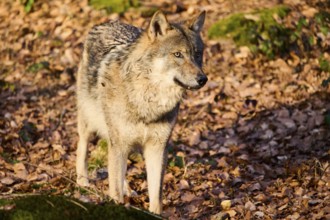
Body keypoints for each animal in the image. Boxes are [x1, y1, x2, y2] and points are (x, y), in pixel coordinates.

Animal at [76, 10, 208, 215]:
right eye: (178, 54)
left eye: (198, 54)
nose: (203, 79)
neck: (148, 101)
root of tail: (106, 23)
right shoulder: (119, 144)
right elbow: (114, 189)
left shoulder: (158, 147)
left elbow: (156, 194)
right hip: (90, 121)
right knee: (82, 145)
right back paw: (82, 180)